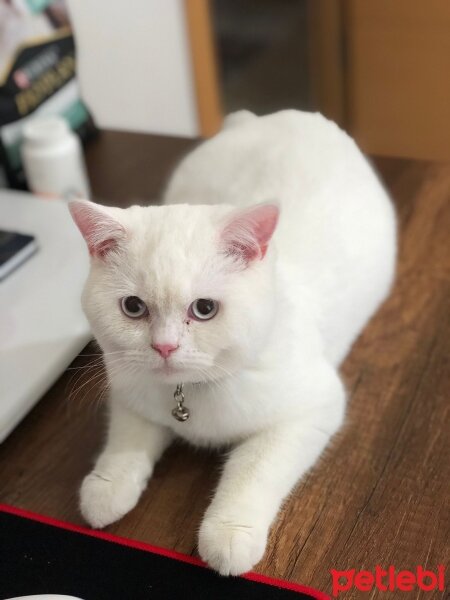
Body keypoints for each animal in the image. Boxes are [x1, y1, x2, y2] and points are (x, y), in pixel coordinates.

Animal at [68, 110, 396, 576]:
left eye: (204, 308)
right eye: (133, 307)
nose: (164, 347)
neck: (192, 393)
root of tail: (284, 116)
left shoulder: (312, 410)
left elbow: (254, 469)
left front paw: (229, 533)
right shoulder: (129, 391)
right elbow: (126, 439)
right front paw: (106, 487)